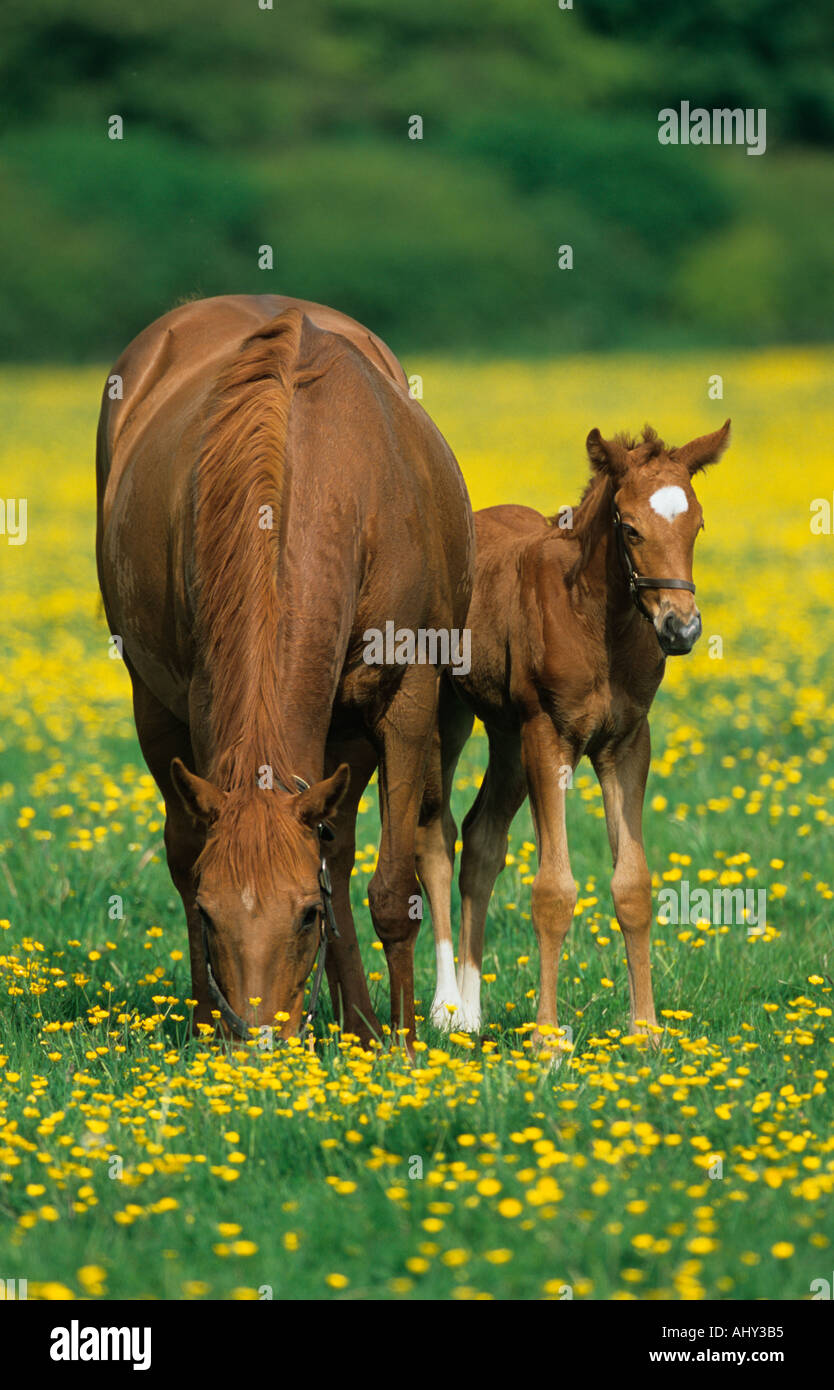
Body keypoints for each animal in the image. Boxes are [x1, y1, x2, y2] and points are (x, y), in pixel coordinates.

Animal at [96, 294, 474, 1049]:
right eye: (212, 915)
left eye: (305, 914)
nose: (259, 1045)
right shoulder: (203, 703)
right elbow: (196, 859)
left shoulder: (404, 702)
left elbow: (392, 890)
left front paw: (403, 1045)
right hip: (157, 704)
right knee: (186, 845)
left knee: (344, 850)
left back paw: (363, 1025)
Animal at [416, 420, 730, 1045]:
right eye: (630, 528)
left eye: (697, 525)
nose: (681, 629)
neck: (599, 622)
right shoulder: (549, 736)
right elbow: (553, 890)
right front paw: (546, 1039)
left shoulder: (627, 743)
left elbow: (632, 885)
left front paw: (646, 1031)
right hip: (452, 718)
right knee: (436, 834)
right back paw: (446, 1009)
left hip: (507, 737)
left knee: (482, 839)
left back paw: (473, 1012)